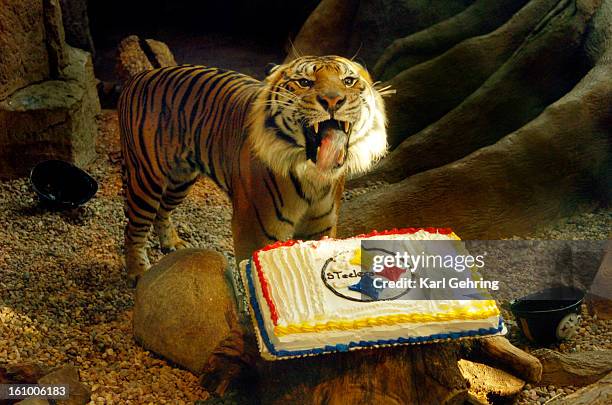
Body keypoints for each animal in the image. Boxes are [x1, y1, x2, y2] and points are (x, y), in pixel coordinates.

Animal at [117, 55, 390, 280]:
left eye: (348, 81)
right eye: (304, 82)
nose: (333, 99)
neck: (314, 177)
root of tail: (140, 76)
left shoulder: (322, 227)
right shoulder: (256, 231)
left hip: (180, 180)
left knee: (162, 212)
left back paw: (172, 243)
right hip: (147, 178)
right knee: (134, 228)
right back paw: (138, 272)